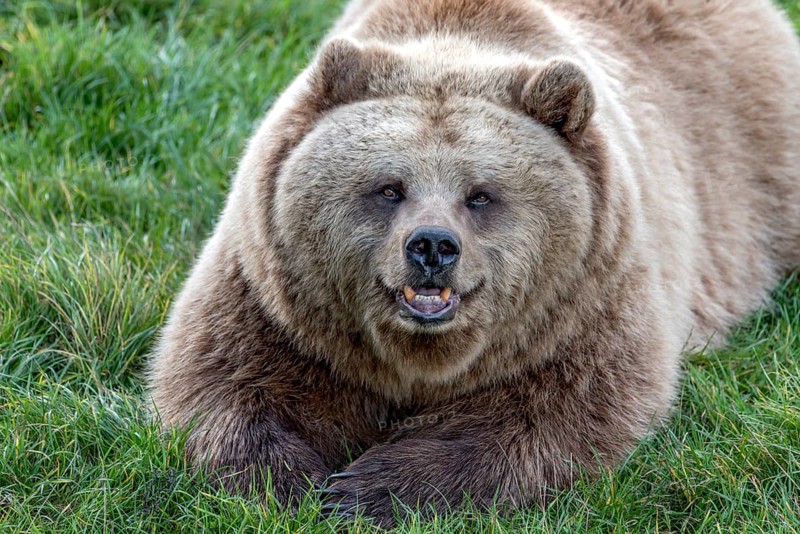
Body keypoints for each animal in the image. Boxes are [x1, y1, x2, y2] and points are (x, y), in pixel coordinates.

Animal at [148, 0, 800, 527]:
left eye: (481, 195)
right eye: (390, 187)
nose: (432, 247)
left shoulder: (583, 305)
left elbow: (557, 418)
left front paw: (369, 491)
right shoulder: (277, 299)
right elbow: (222, 384)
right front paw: (294, 485)